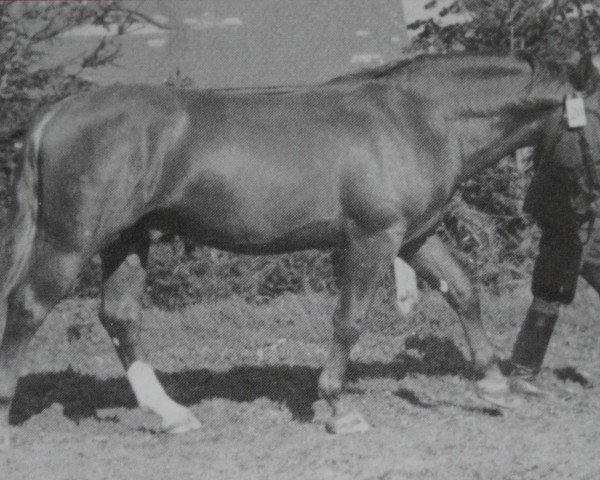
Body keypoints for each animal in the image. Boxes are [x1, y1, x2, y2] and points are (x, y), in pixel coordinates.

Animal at [0, 51, 596, 442]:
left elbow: (464, 290)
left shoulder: (415, 236)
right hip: (71, 242)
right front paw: (335, 407)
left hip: (127, 240)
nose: (588, 210)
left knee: (119, 316)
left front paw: (494, 383)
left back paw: (172, 414)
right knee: (27, 306)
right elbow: (350, 320)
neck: (418, 118)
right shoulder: (374, 238)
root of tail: (56, 114)